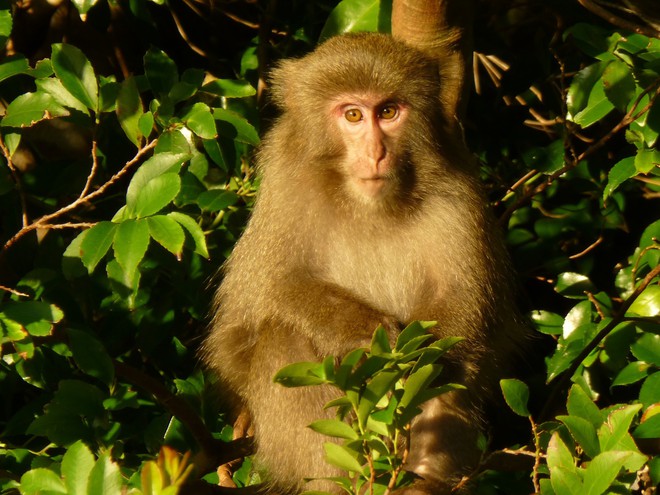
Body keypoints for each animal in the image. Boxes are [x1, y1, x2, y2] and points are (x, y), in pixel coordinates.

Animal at [201, 33, 524, 494]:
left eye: (387, 112)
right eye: (352, 115)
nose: (376, 153)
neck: (368, 207)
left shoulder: (456, 189)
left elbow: (462, 310)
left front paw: (410, 360)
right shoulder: (285, 186)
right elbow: (264, 298)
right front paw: (367, 334)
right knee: (281, 335)